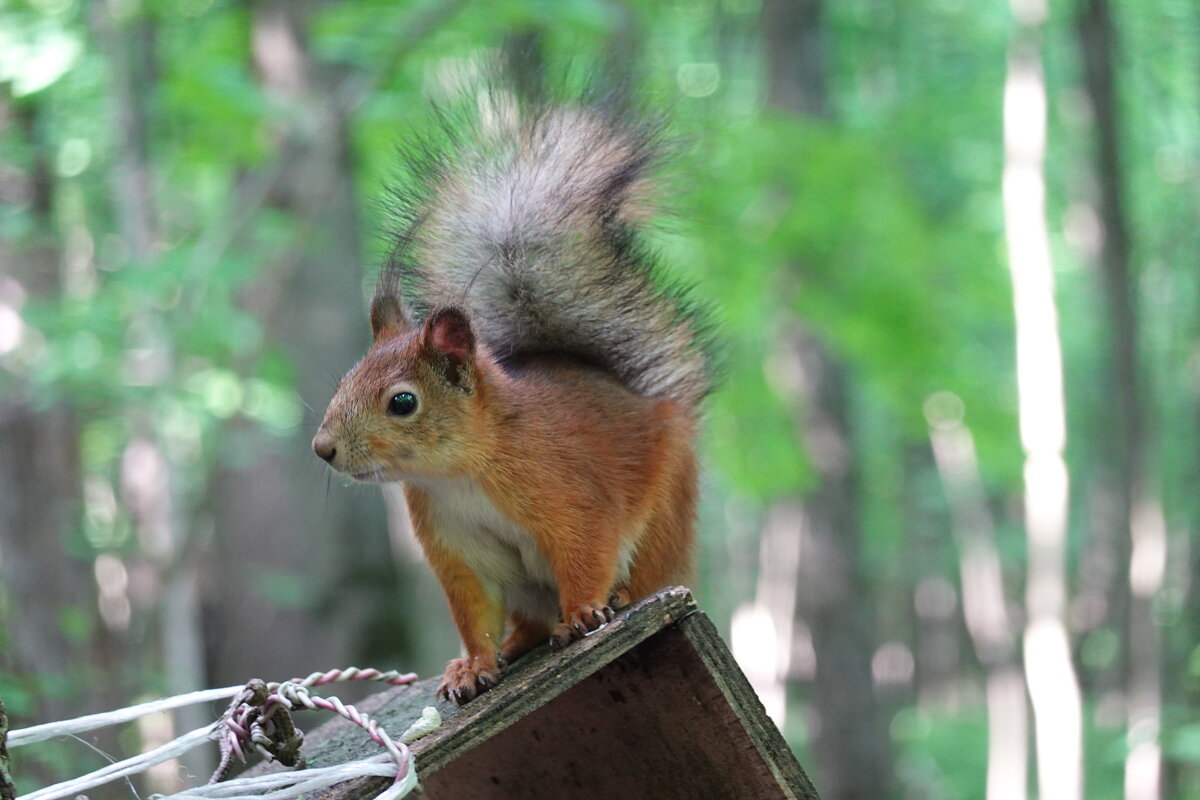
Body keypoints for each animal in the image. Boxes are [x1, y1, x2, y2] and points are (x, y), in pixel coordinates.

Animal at [314, 84, 715, 705]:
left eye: (403, 402)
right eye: (343, 383)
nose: (323, 448)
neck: (459, 474)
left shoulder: (570, 500)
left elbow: (585, 554)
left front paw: (583, 614)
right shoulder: (456, 548)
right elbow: (474, 612)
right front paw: (474, 667)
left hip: (665, 516)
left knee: (649, 570)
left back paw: (616, 600)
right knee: (526, 621)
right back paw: (515, 643)